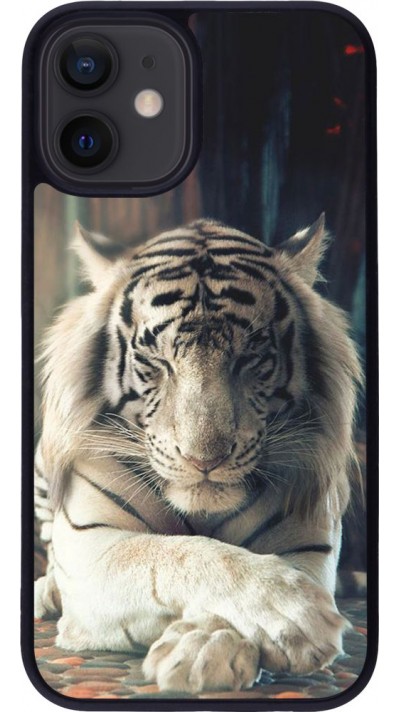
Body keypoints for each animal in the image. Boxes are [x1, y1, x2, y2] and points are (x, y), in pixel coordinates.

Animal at [34, 215, 362, 694]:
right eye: (156, 361)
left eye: (251, 357)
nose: (203, 460)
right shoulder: (91, 544)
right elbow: (179, 553)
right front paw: (293, 613)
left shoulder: (308, 542)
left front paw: (205, 649)